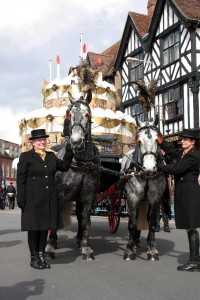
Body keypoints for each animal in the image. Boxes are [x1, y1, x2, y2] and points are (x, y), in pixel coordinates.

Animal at [46, 91, 101, 260]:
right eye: (69, 114)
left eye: (87, 114)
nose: (76, 141)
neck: (81, 162)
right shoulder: (60, 195)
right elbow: (54, 220)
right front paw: (50, 248)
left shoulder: (88, 196)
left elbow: (86, 221)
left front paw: (86, 247)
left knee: (79, 216)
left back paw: (79, 239)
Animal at [121, 115, 166, 260]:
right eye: (139, 141)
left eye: (157, 139)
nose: (149, 168)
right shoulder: (132, 197)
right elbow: (132, 223)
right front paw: (129, 250)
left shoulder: (155, 198)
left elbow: (152, 223)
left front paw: (152, 250)